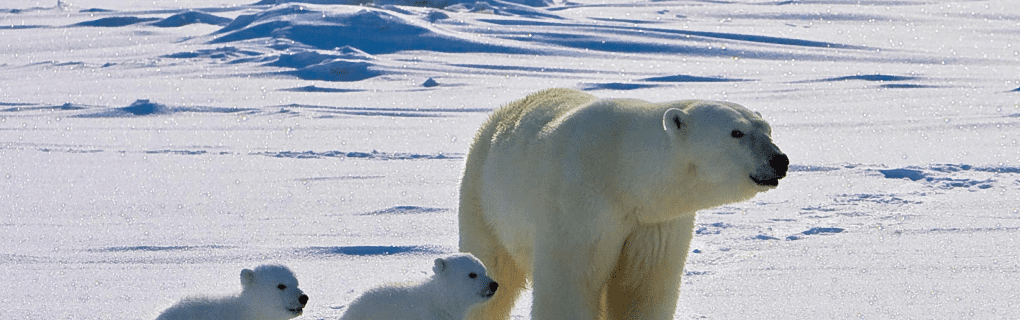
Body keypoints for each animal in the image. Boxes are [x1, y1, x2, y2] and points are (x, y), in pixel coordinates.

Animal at [461, 88, 787, 320]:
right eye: (736, 132)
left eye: (767, 129)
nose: (779, 160)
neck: (623, 171)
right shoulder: (578, 208)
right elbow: (571, 284)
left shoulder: (654, 222)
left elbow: (642, 289)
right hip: (484, 199)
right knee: (493, 268)